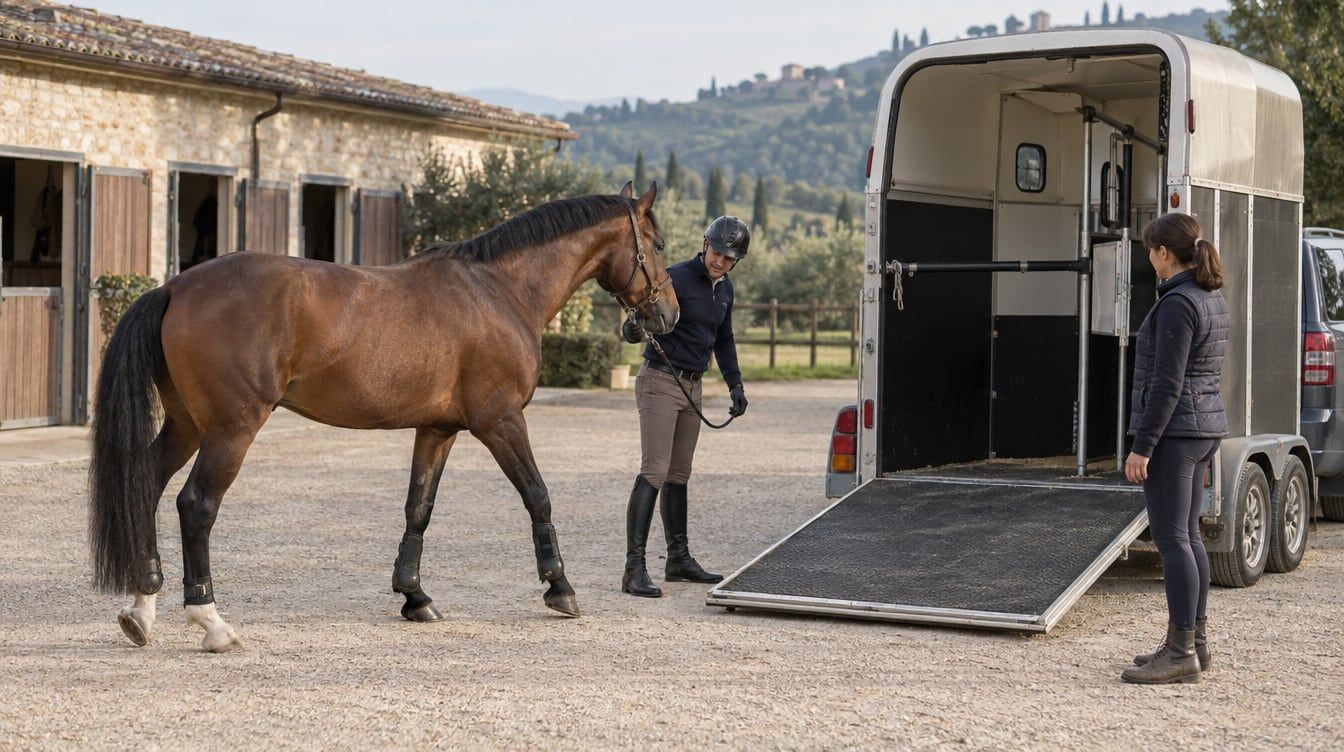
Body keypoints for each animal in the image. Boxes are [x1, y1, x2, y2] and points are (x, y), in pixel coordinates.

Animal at [89, 182, 677, 652]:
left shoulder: (438, 430)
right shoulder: (501, 421)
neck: (499, 291)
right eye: (659, 245)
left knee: (146, 484)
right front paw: (560, 588)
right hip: (230, 431)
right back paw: (211, 622)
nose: (668, 315)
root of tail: (174, 287)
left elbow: (419, 509)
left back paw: (141, 610)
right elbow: (538, 496)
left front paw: (415, 597)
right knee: (196, 506)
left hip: (189, 426)